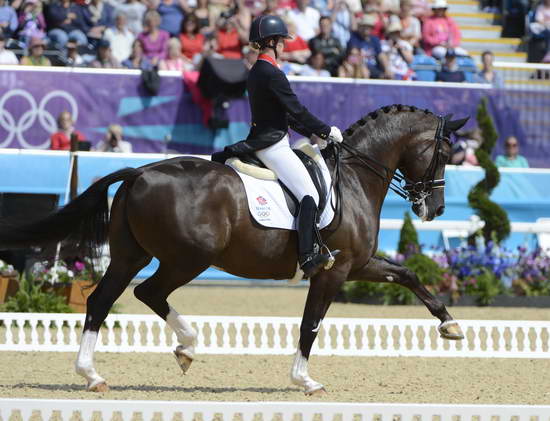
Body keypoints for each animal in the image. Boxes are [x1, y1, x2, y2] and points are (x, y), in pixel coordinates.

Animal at [0, 104, 468, 394]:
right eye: (444, 151)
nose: (435, 208)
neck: (353, 177)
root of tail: (139, 172)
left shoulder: (358, 264)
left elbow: (407, 273)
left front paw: (450, 325)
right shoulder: (333, 270)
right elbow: (311, 324)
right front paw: (305, 380)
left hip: (132, 256)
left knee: (101, 300)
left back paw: (95, 374)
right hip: (189, 258)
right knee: (147, 292)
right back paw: (185, 346)